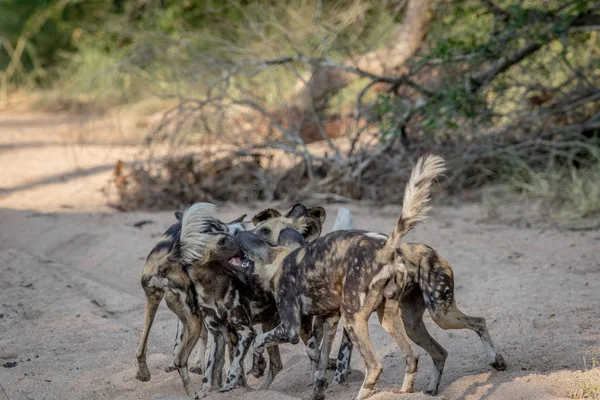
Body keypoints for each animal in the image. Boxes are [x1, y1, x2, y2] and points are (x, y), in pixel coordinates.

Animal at [232, 155, 504, 400]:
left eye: (264, 230)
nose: (234, 237)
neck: (286, 257)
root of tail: (387, 248)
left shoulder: (292, 327)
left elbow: (262, 342)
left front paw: (258, 366)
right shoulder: (327, 322)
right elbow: (318, 362)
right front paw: (318, 389)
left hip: (391, 318)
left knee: (380, 364)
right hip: (407, 321)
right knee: (424, 354)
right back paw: (417, 391)